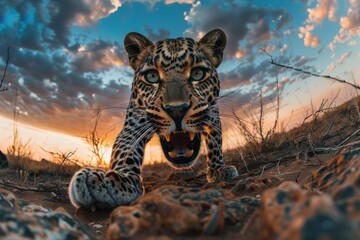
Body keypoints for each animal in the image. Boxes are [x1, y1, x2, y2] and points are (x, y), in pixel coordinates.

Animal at [69, 28, 239, 210]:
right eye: (151, 76)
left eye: (197, 73)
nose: (177, 110)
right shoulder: (133, 126)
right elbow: (125, 152)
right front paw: (116, 180)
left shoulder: (212, 114)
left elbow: (215, 142)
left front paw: (218, 169)